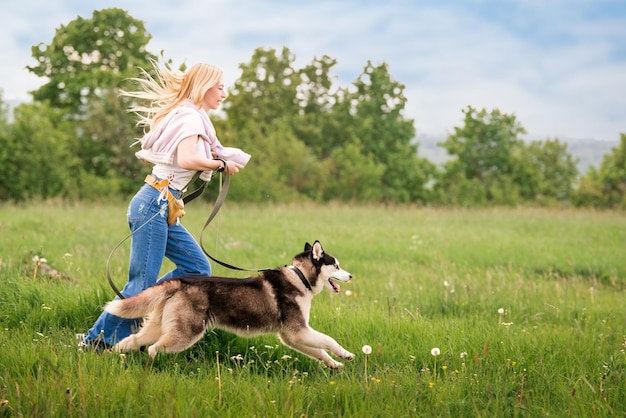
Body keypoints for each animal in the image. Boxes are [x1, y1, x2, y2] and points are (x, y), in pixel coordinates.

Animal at [105, 240, 354, 368]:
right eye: (337, 266)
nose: (351, 276)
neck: (300, 277)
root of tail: (180, 281)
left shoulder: (291, 336)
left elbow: (320, 351)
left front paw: (335, 364)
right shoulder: (299, 331)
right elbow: (329, 340)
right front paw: (346, 354)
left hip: (158, 325)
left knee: (130, 341)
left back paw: (112, 356)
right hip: (187, 332)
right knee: (154, 349)